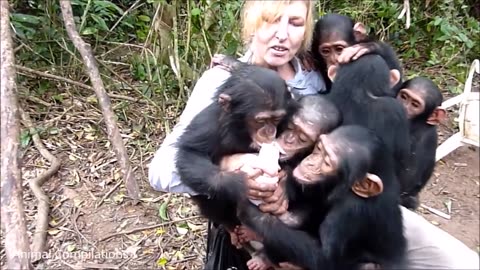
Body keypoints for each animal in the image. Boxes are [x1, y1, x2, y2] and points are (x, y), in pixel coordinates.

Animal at [176, 62, 296, 231]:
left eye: (276, 119)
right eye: (261, 120)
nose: (270, 131)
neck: (242, 130)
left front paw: (283, 186)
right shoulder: (210, 122)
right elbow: (190, 152)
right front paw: (239, 183)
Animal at [238, 125, 406, 268]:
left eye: (326, 163)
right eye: (319, 149)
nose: (310, 162)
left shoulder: (351, 211)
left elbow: (324, 258)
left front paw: (249, 210)